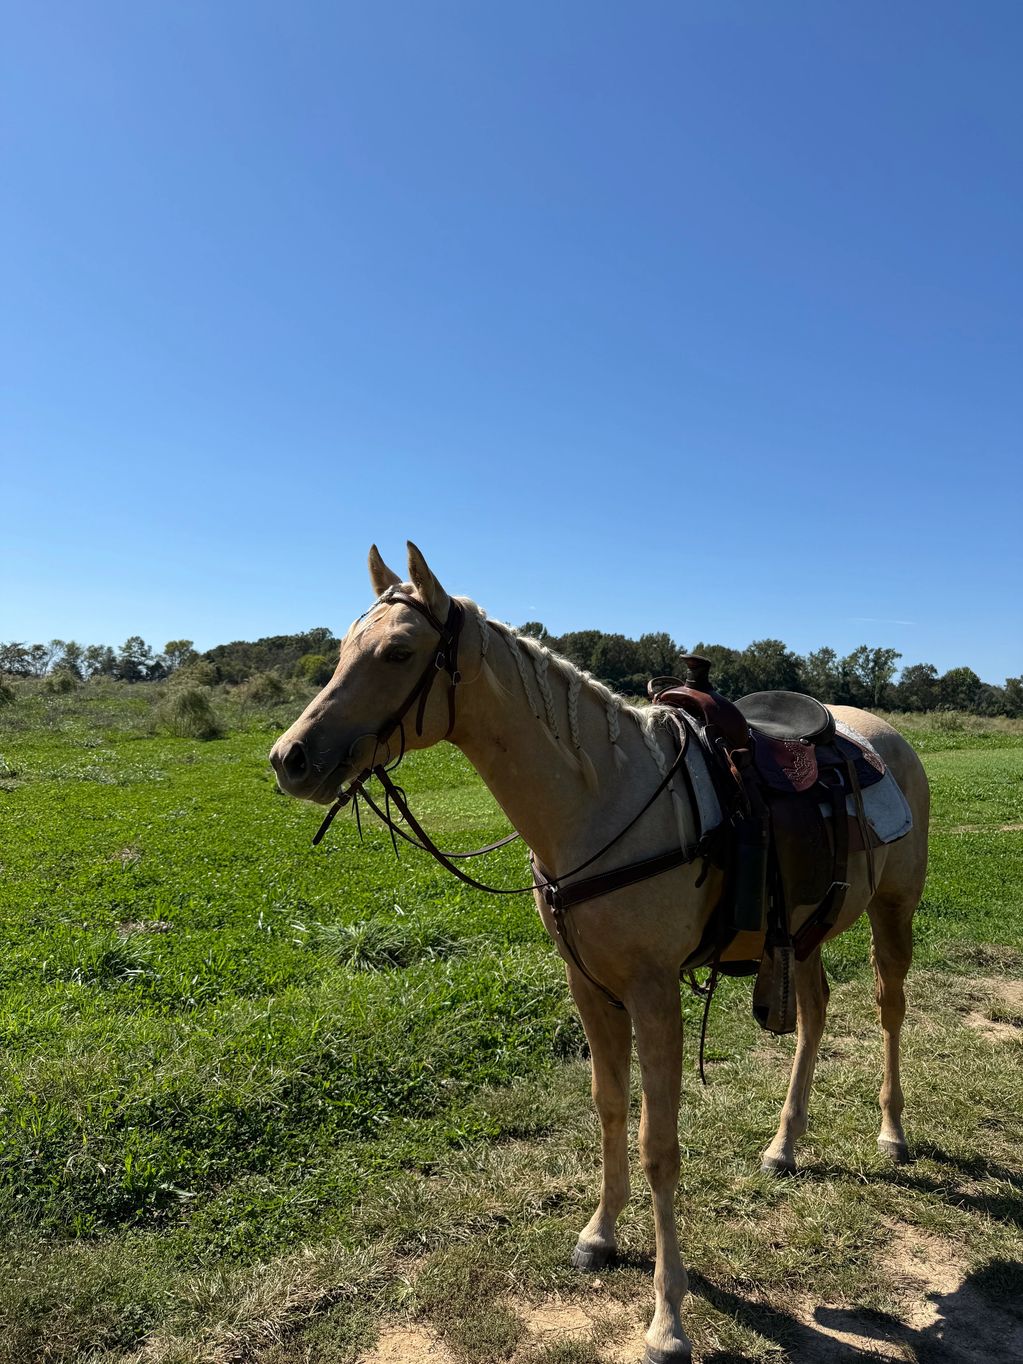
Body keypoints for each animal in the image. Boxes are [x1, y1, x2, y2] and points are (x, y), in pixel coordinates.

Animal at [270, 542, 930, 1364]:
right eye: (339, 653)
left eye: (397, 652)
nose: (289, 759)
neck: (605, 801)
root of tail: (882, 735)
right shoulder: (589, 987)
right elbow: (610, 1108)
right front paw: (599, 1234)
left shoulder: (655, 992)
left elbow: (658, 1144)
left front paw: (667, 1319)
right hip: (804, 931)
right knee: (813, 1017)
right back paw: (784, 1145)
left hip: (892, 910)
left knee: (889, 1010)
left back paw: (892, 1132)